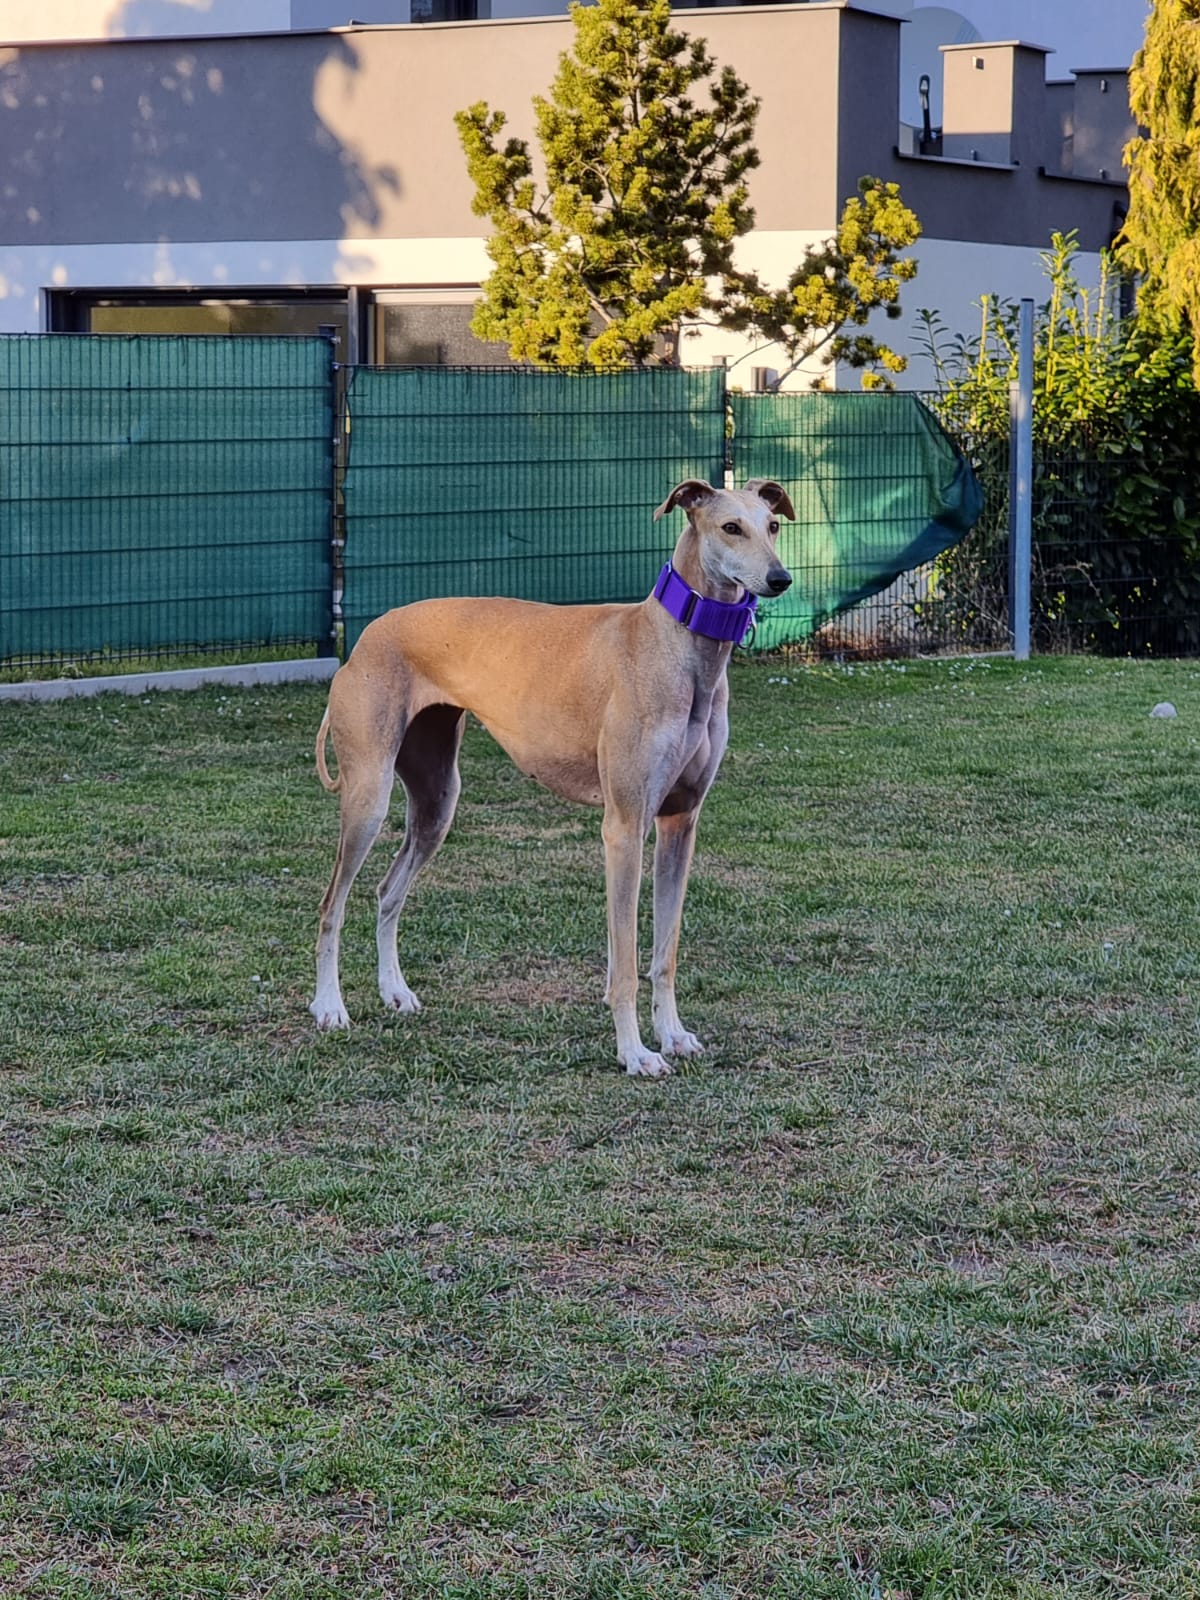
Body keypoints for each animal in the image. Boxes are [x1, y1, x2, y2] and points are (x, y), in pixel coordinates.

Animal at [310, 477, 794, 1076]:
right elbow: (624, 962)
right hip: (368, 795)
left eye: (772, 526)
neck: (674, 644)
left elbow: (665, 951)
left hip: (436, 801)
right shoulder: (624, 827)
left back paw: (394, 991)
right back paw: (329, 1007)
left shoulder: (680, 823)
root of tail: (366, 635)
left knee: (386, 890)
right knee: (332, 904)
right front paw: (635, 1052)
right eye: (730, 527)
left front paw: (673, 1035)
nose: (780, 579)